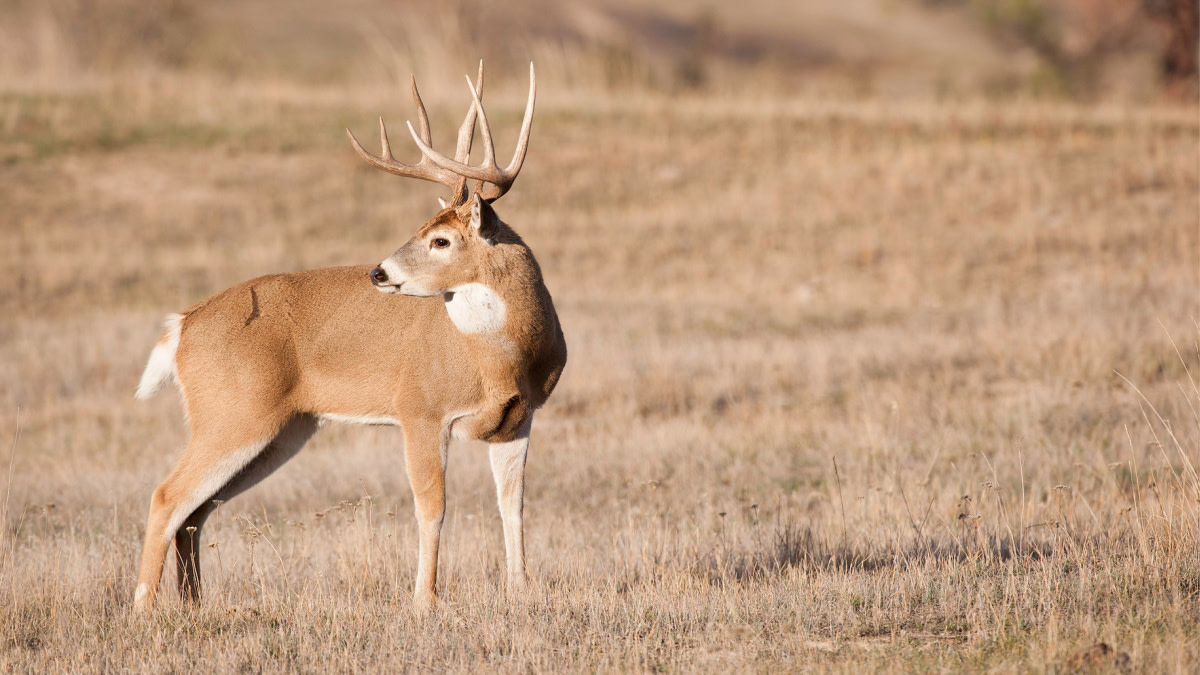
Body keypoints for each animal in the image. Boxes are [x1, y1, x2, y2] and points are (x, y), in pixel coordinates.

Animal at [133, 63, 564, 610]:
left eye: (440, 240)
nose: (379, 272)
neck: (502, 358)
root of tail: (183, 324)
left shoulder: (519, 418)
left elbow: (514, 504)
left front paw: (522, 590)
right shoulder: (420, 409)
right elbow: (433, 506)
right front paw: (425, 601)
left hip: (281, 429)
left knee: (196, 510)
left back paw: (193, 604)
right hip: (232, 413)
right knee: (167, 496)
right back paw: (143, 611)